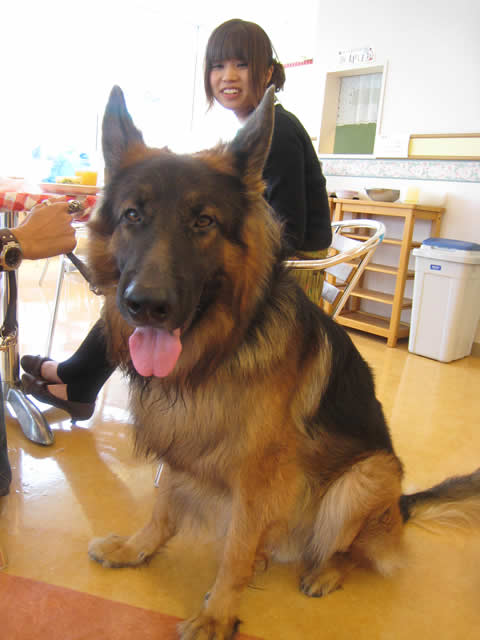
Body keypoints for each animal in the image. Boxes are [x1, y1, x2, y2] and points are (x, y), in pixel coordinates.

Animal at [87, 85, 480, 640]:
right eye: (132, 216)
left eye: (203, 221)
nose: (146, 305)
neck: (219, 351)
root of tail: (400, 509)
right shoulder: (180, 445)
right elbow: (164, 511)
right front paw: (137, 549)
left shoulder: (258, 476)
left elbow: (235, 549)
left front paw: (217, 614)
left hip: (365, 478)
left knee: (347, 549)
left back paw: (325, 571)